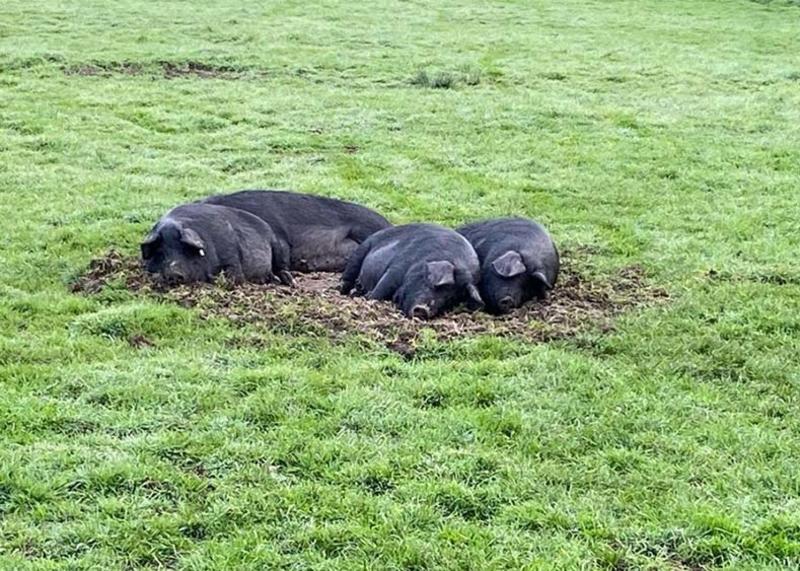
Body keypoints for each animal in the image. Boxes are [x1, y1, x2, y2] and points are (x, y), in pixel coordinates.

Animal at [141, 204, 294, 286]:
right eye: (160, 252)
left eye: (184, 249)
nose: (173, 273)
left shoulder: (232, 256)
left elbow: (234, 275)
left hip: (277, 245)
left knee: (281, 267)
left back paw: (287, 281)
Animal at [340, 223, 484, 320]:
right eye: (435, 286)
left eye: (451, 298)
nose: (424, 311)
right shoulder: (396, 268)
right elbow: (380, 290)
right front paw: (367, 299)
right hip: (362, 249)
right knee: (348, 276)